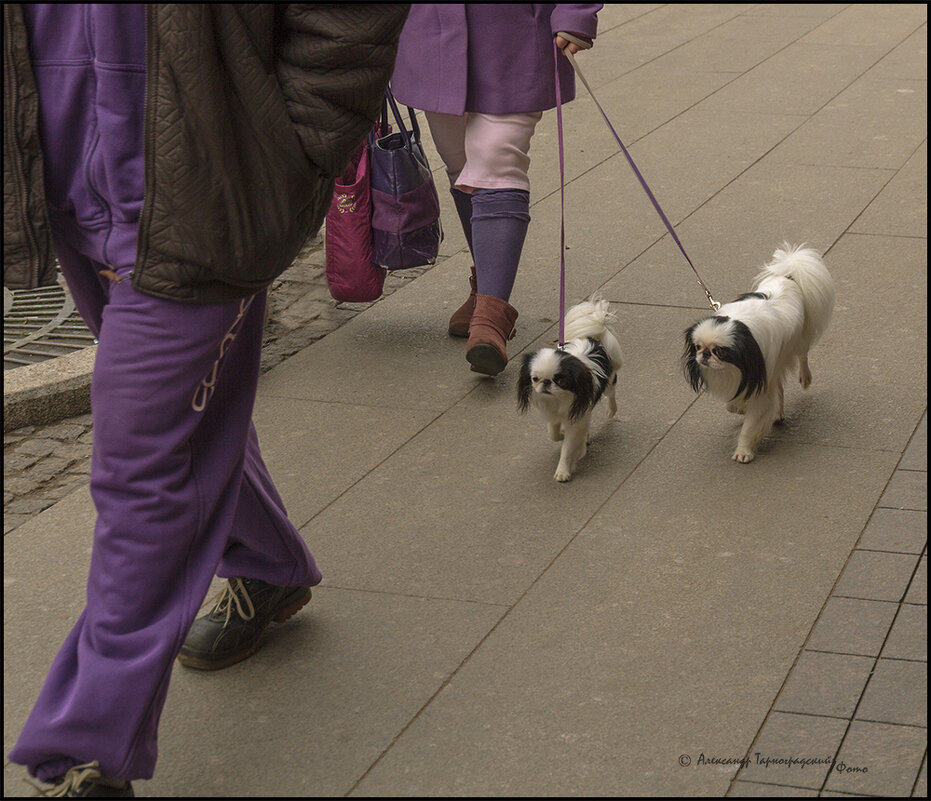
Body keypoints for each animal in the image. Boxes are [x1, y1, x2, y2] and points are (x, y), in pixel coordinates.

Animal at [520, 294, 624, 482]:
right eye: (535, 379)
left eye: (560, 381)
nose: (546, 383)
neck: (559, 398)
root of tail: (594, 337)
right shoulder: (554, 415)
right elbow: (553, 434)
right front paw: (561, 435)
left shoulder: (575, 418)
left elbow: (568, 448)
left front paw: (563, 471)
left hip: (609, 381)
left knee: (611, 394)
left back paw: (611, 410)